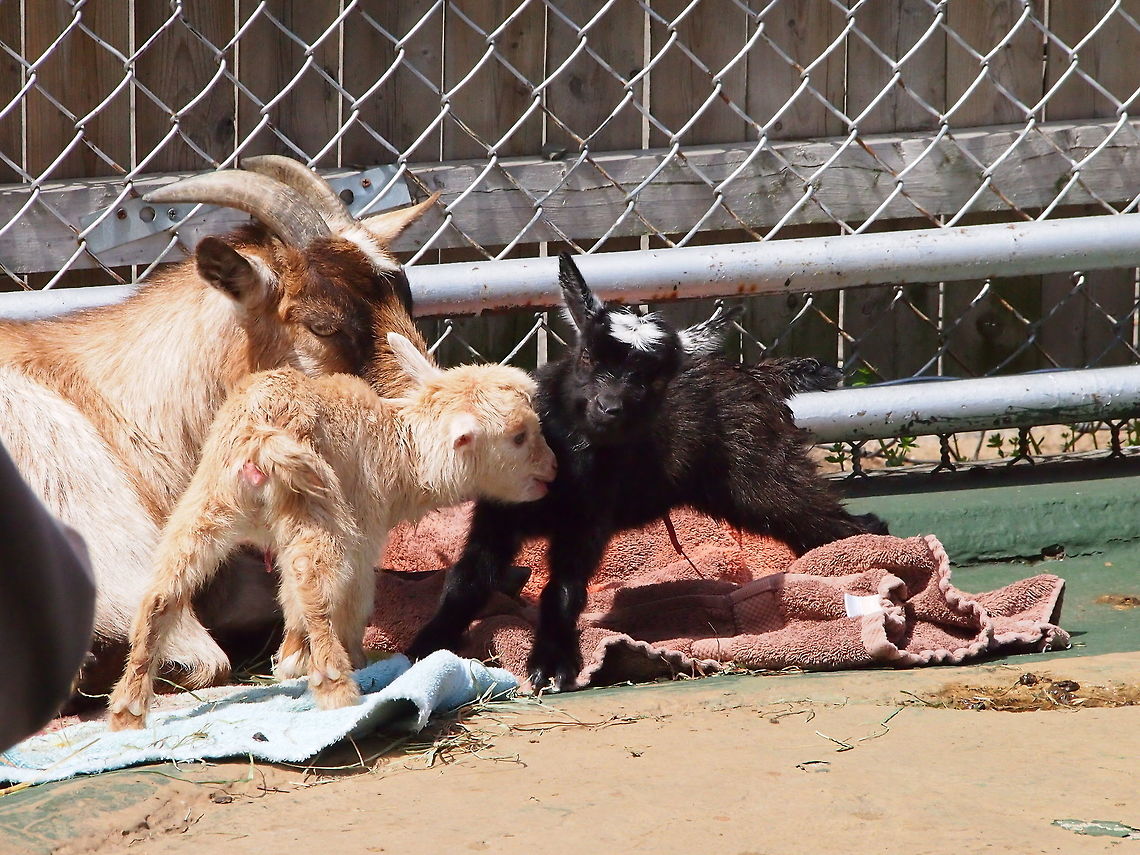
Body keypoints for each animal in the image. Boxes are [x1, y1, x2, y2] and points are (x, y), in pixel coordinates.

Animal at [107, 332, 556, 729]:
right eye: (519, 436)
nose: (552, 469)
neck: (399, 450)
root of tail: (261, 436)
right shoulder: (365, 534)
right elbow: (354, 600)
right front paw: (351, 659)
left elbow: (287, 599)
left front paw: (290, 660)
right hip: (316, 511)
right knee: (314, 587)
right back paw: (337, 686)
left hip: (207, 502)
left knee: (163, 592)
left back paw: (127, 711)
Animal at [407, 253, 888, 692]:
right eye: (586, 356)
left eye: (652, 379)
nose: (609, 408)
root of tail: (758, 376)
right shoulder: (497, 517)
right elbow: (467, 581)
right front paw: (424, 648)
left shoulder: (587, 524)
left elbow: (563, 589)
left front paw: (552, 664)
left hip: (764, 475)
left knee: (835, 519)